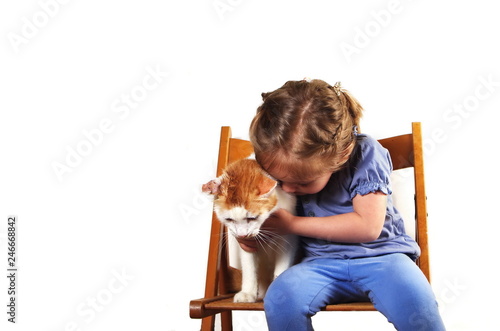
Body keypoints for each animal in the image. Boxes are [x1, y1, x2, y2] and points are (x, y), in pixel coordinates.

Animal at [202, 159, 296, 304]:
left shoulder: (288, 239)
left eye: (252, 218)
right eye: (229, 219)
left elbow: (282, 268)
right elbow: (249, 268)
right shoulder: (246, 245)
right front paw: (248, 293)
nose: (242, 234)